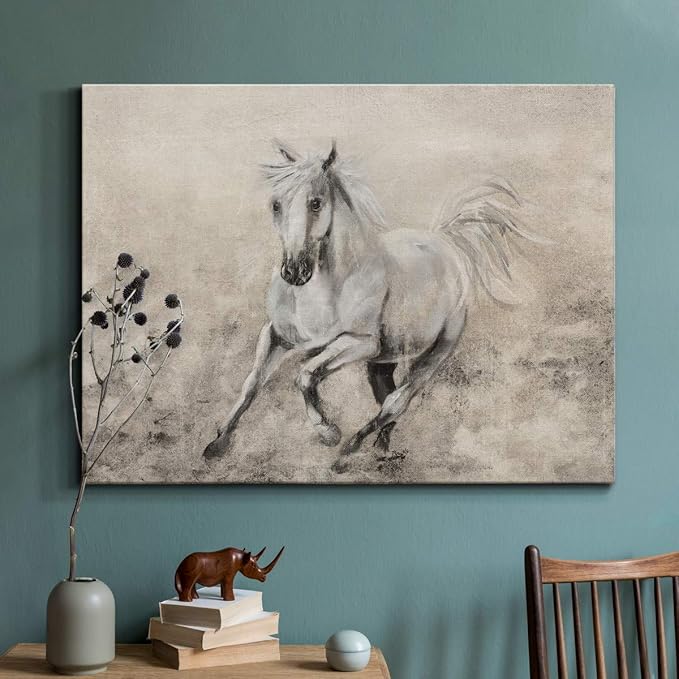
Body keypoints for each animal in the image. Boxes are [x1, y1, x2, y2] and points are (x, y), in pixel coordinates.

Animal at [203, 139, 538, 472]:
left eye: (316, 203)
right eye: (276, 204)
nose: (294, 272)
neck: (324, 291)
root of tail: (447, 243)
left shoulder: (359, 343)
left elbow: (305, 375)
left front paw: (328, 433)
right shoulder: (277, 335)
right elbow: (252, 383)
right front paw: (217, 444)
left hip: (438, 349)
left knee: (396, 402)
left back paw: (347, 452)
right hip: (383, 361)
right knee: (387, 398)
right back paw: (381, 450)